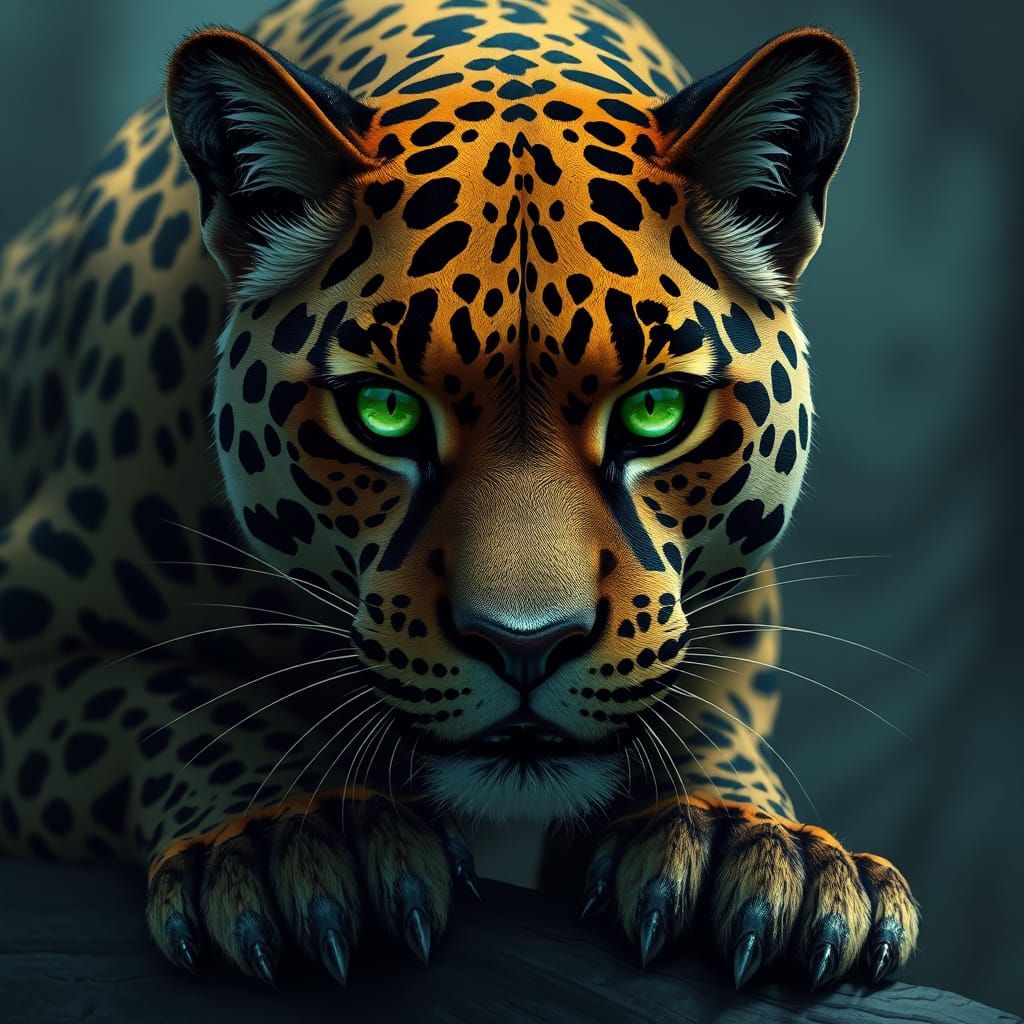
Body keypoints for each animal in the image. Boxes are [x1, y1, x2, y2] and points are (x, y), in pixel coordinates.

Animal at [0, 0, 919, 994]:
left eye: (657, 410)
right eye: (385, 411)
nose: (524, 647)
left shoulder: (737, 613)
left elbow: (710, 714)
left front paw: (743, 844)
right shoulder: (30, 647)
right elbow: (176, 705)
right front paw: (296, 835)